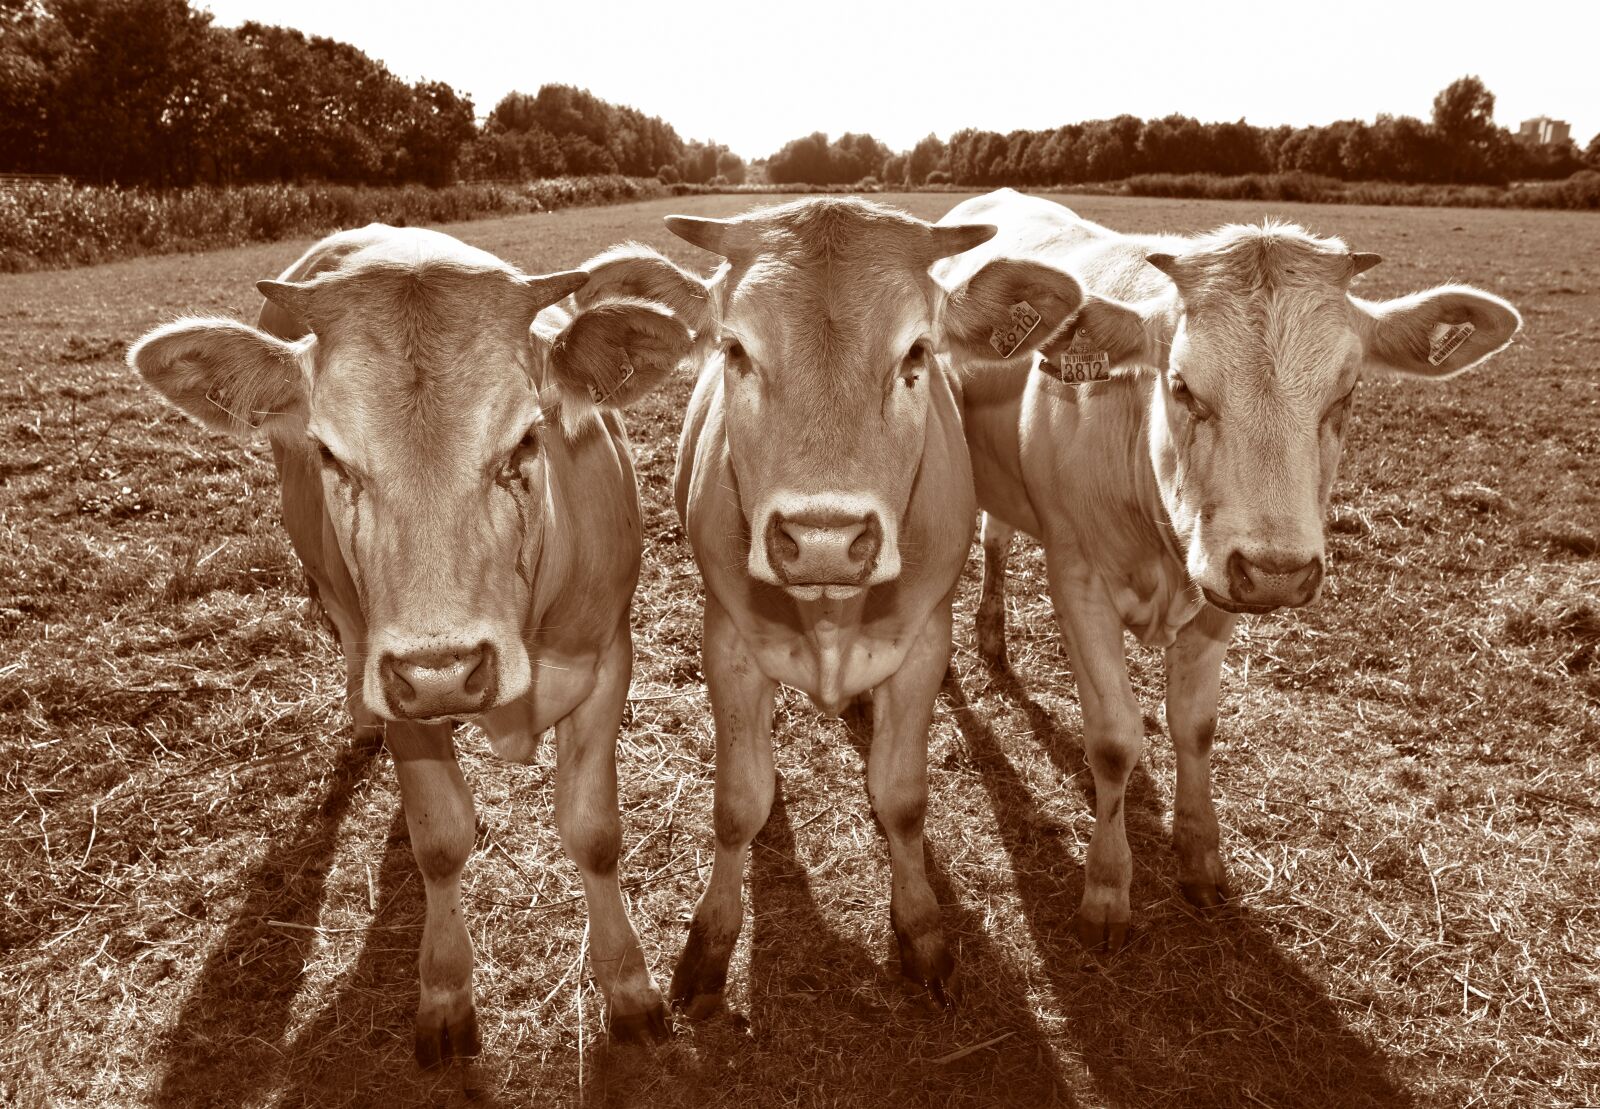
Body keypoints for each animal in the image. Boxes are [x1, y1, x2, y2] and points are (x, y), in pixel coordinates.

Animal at [127, 224, 694, 1062]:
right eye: (332, 456)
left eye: (527, 440)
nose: (444, 672)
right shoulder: (394, 677)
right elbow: (441, 838)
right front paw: (446, 991)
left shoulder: (605, 661)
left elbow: (593, 831)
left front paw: (629, 987)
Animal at [652, 196, 1093, 1011]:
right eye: (735, 349)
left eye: (916, 352)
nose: (824, 540)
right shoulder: (727, 641)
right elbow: (737, 802)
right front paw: (709, 941)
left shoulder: (919, 647)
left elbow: (903, 798)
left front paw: (919, 930)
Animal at [937, 188, 1521, 951]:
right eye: (1182, 386)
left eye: (1346, 394)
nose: (1277, 571)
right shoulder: (1078, 578)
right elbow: (1115, 740)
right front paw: (1107, 889)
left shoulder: (1219, 587)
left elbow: (1195, 726)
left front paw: (1201, 858)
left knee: (999, 539)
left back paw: (992, 637)